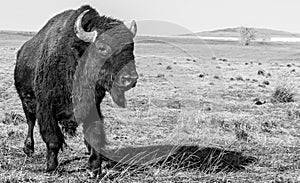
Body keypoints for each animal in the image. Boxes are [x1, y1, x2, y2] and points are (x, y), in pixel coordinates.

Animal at [14, 4, 139, 176]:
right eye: (102, 48)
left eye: (131, 46)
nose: (130, 78)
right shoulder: (46, 108)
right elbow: (52, 139)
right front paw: (51, 167)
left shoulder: (92, 107)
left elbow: (94, 134)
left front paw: (94, 169)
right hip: (26, 101)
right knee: (30, 122)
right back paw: (29, 149)